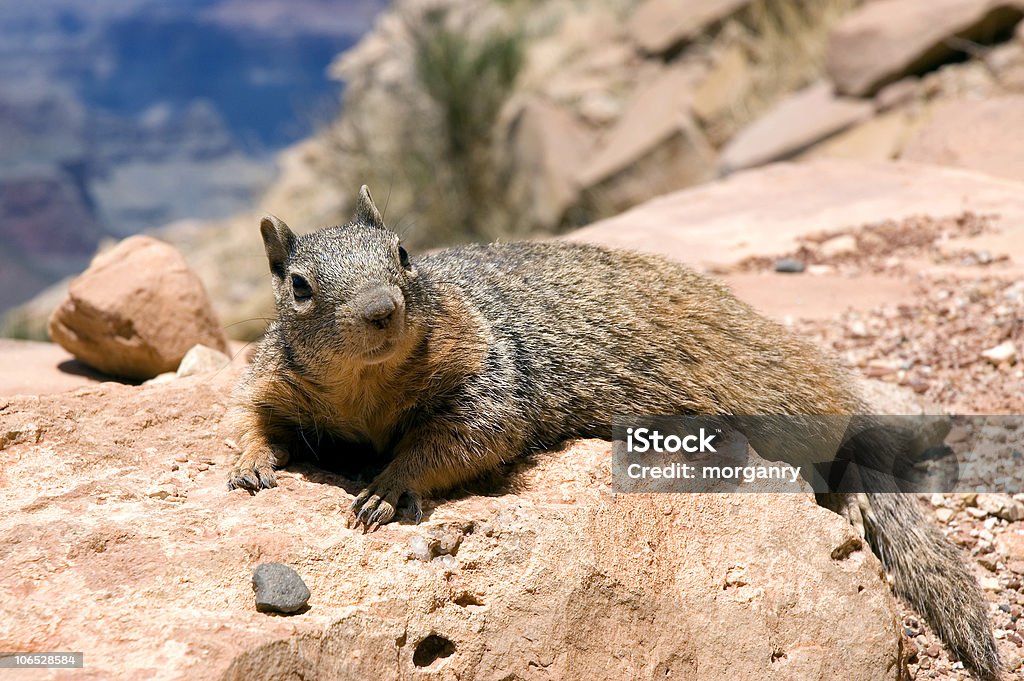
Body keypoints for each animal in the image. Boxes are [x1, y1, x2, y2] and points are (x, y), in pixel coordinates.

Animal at [226, 186, 999, 679]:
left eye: (405, 253)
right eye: (298, 286)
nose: (383, 308)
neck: (369, 391)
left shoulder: (491, 372)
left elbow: (466, 436)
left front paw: (387, 486)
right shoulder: (273, 376)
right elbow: (247, 413)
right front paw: (249, 464)